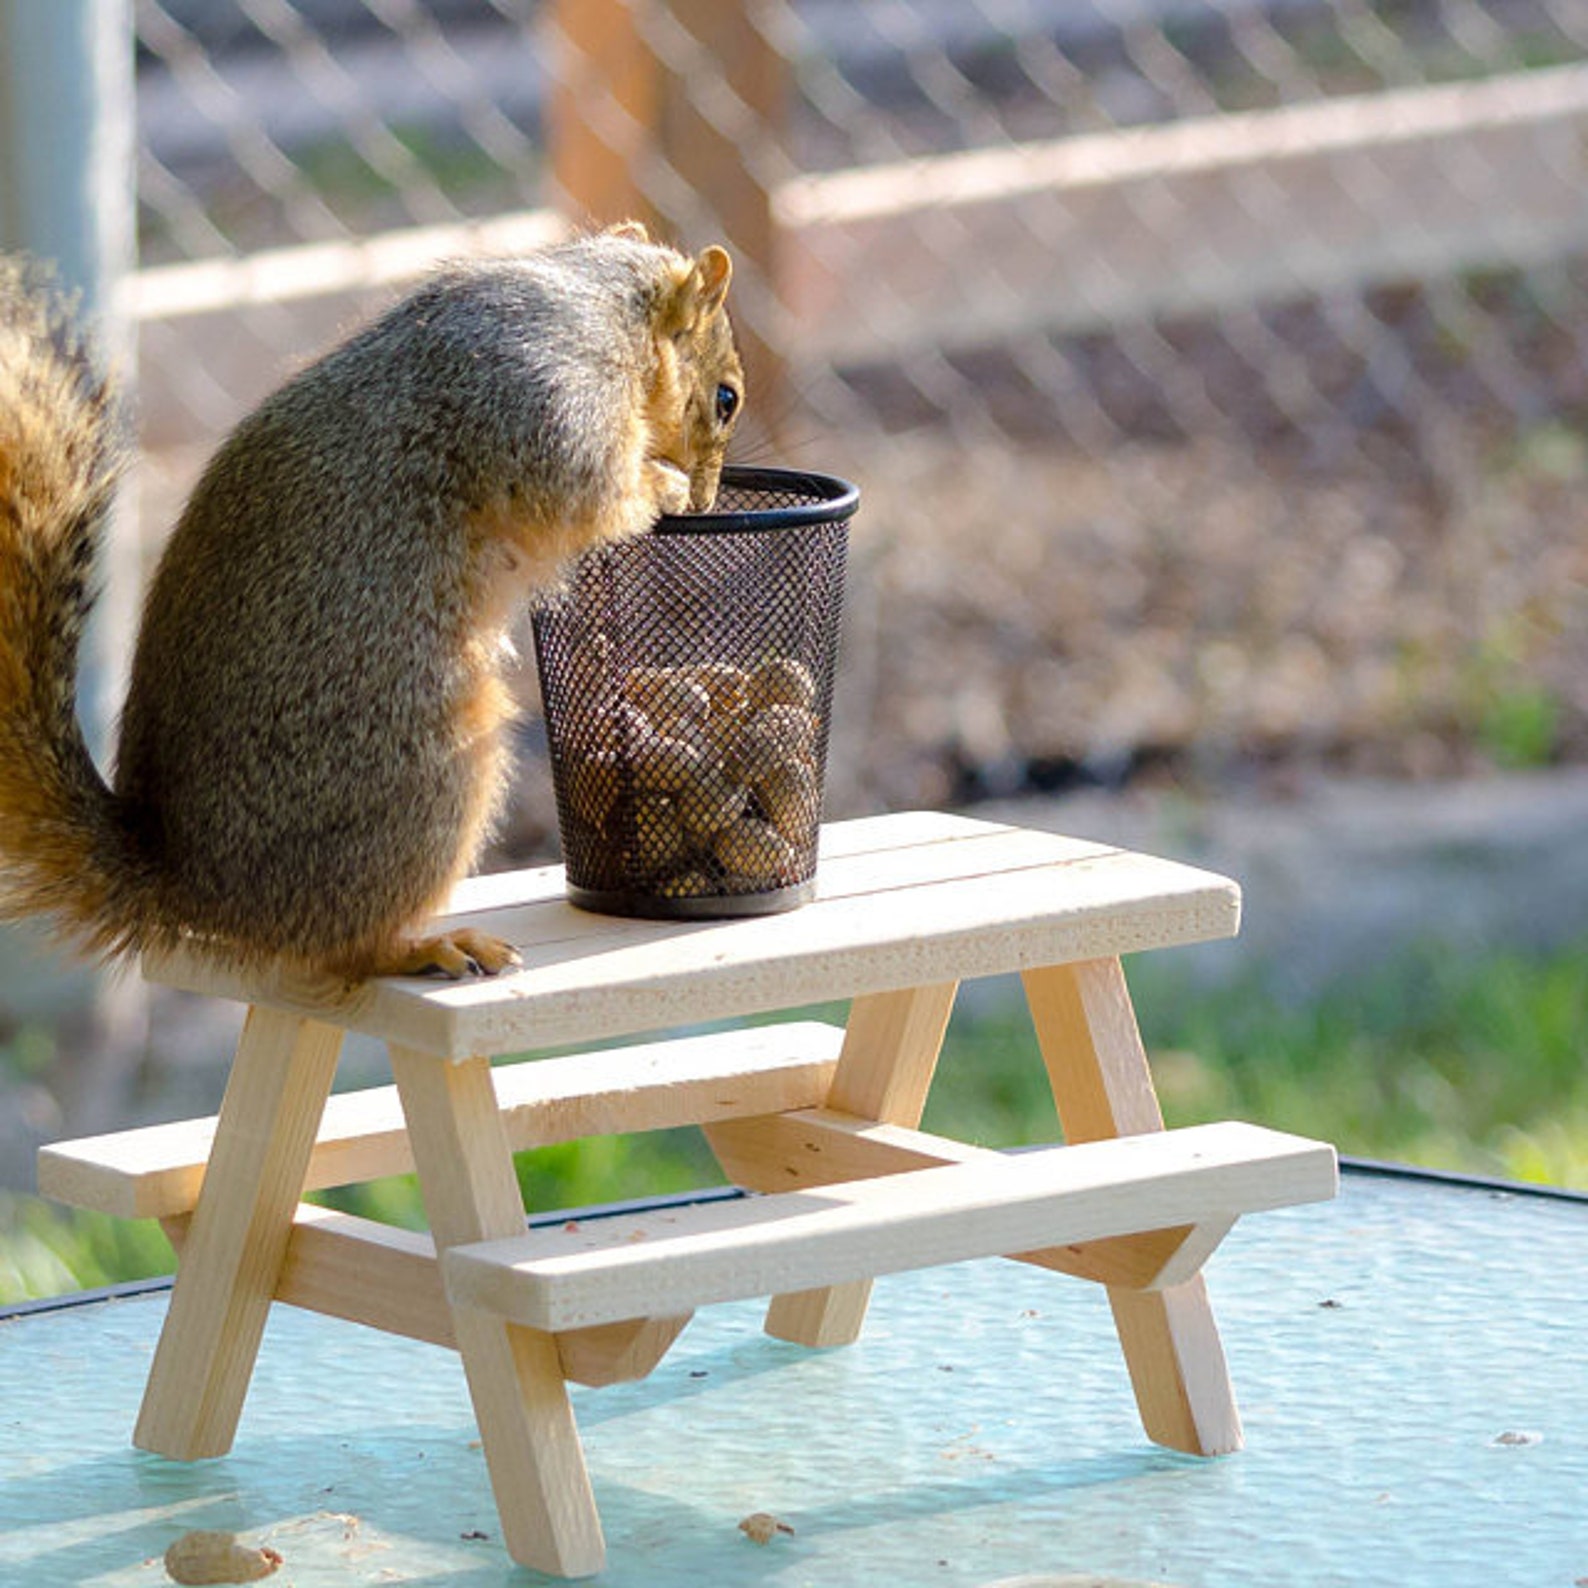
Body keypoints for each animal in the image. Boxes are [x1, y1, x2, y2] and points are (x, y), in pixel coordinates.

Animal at [0, 223, 744, 982]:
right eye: (727, 399)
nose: (708, 500)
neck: (604, 305)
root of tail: (190, 890)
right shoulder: (550, 397)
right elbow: (594, 491)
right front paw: (667, 485)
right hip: (427, 773)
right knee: (348, 947)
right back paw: (432, 946)